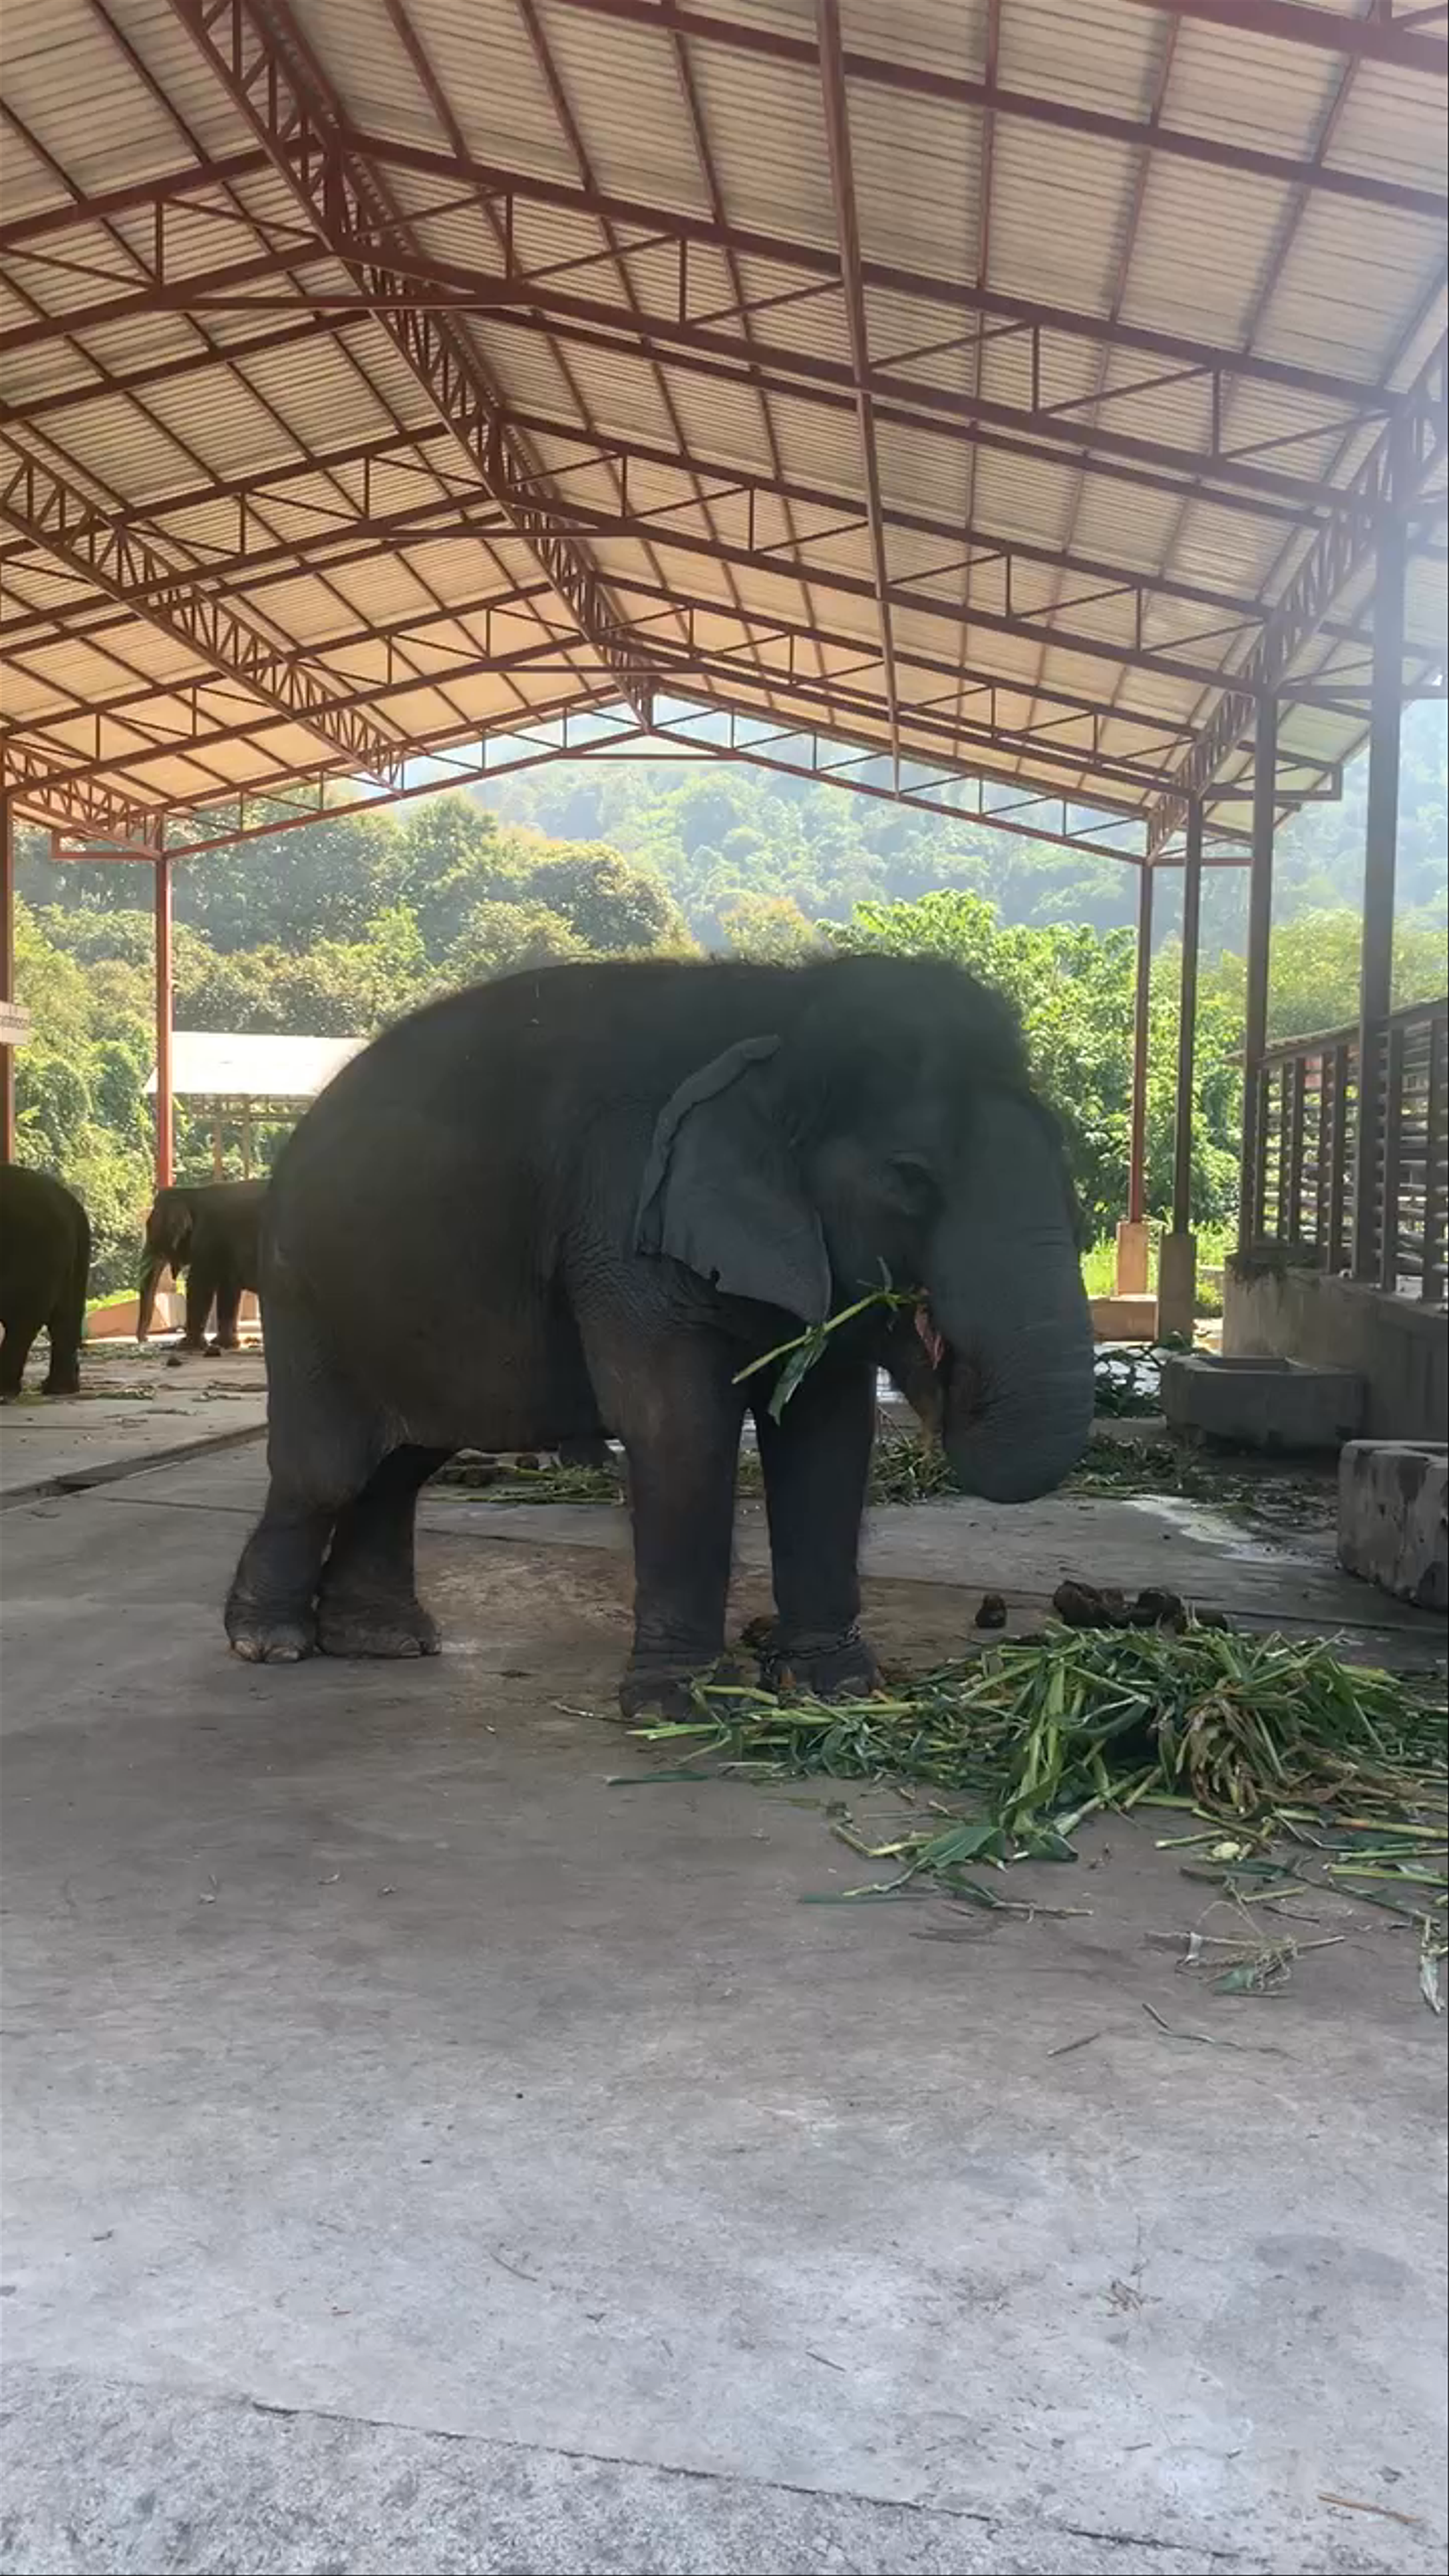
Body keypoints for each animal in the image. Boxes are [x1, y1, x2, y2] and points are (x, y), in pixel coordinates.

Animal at [0, 1164, 91, 1398]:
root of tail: (72, 1204)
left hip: (36, 1245)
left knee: (23, 1316)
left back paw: (7, 1389)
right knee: (65, 1315)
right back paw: (59, 1388)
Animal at [137, 1180, 266, 1352]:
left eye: (153, 1235)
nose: (146, 1340)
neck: (191, 1193)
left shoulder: (209, 1238)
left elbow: (199, 1284)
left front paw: (185, 1345)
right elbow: (228, 1288)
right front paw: (225, 1344)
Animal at [225, 953, 1095, 1711]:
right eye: (911, 1179)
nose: (952, 1381)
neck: (785, 1016)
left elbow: (827, 1433)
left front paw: (835, 1687)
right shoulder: (624, 1222)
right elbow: (681, 1427)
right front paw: (681, 1703)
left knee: (400, 1465)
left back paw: (383, 1641)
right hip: (305, 1297)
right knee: (326, 1471)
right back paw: (271, 1644)